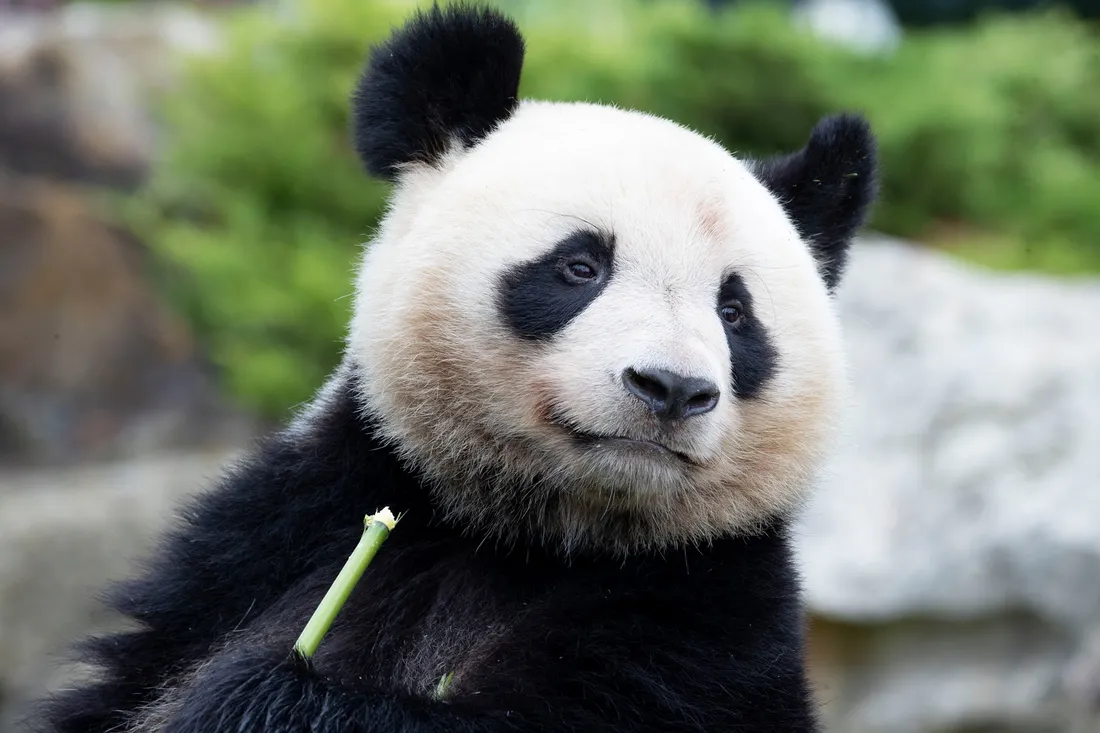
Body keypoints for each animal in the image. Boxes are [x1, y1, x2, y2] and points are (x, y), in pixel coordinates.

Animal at [38, 4, 876, 732]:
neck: (528, 529)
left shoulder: (700, 615)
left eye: (734, 312)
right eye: (580, 266)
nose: (671, 388)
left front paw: (259, 695)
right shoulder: (288, 529)